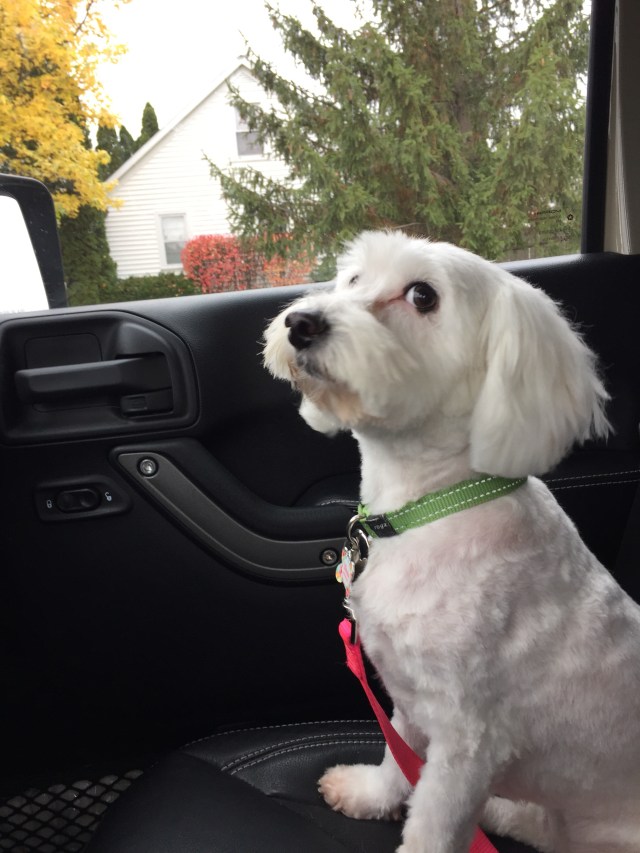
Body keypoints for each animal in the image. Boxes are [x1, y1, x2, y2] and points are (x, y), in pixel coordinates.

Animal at [263, 230, 640, 853]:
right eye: (354, 279)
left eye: (422, 296)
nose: (301, 322)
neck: (433, 504)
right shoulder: (410, 700)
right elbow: (397, 758)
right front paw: (369, 795)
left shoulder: (468, 743)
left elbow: (434, 827)